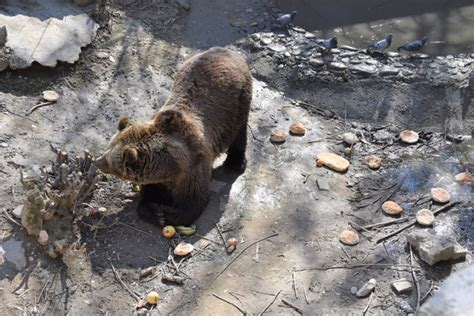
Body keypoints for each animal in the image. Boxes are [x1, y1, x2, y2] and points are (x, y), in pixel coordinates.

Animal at [94, 46, 254, 225]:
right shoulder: (159, 177)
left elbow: (193, 202)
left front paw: (164, 213)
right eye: (107, 148)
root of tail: (228, 51)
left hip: (237, 104)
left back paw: (235, 163)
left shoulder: (193, 167)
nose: (97, 161)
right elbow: (149, 194)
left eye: (110, 161)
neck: (171, 167)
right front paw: (152, 209)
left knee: (239, 133)